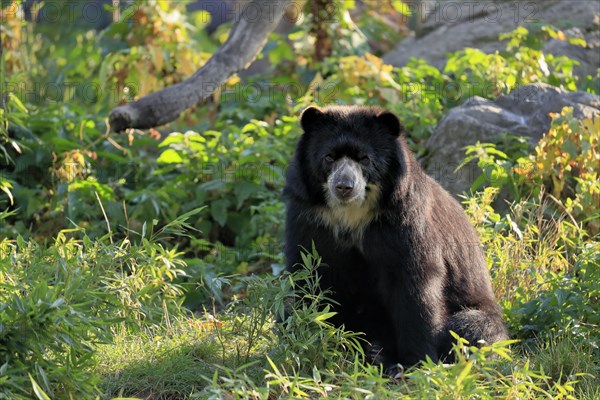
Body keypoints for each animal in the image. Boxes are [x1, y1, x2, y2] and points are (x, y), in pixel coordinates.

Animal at [284, 105, 508, 372]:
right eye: (329, 157)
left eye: (365, 159)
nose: (344, 186)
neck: (352, 214)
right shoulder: (310, 220)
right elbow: (309, 276)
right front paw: (311, 337)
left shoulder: (403, 223)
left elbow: (415, 286)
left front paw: (417, 362)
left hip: (483, 317)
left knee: (469, 329)